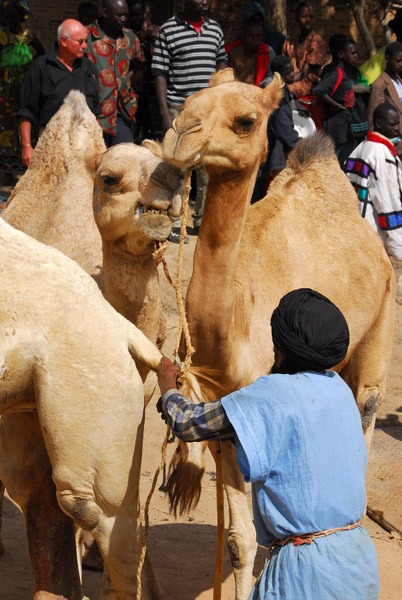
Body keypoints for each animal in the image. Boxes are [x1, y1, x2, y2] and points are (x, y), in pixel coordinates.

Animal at [160, 69, 396, 596]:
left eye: (245, 121)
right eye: (191, 99)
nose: (179, 134)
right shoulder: (221, 412)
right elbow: (240, 539)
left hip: (382, 318)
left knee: (367, 405)